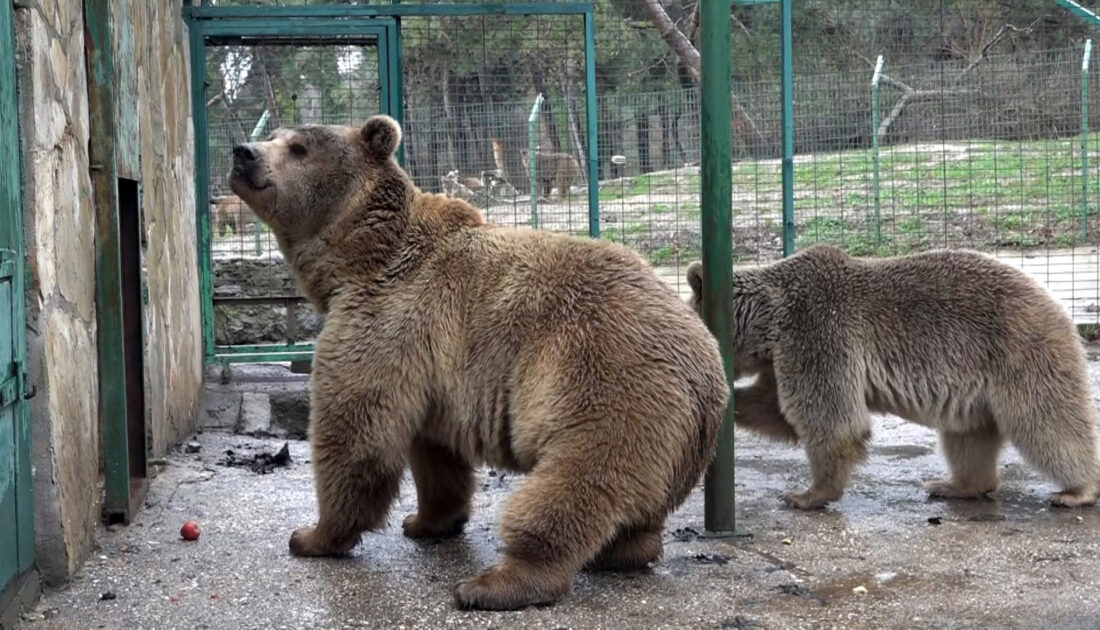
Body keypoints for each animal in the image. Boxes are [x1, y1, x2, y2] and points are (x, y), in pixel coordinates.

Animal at [227, 114, 730, 611]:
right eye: (275, 135)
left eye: (298, 147)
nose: (242, 152)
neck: (359, 256)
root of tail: (708, 370)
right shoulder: (430, 366)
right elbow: (435, 454)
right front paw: (424, 521)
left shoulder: (385, 318)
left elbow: (355, 433)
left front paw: (312, 536)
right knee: (633, 509)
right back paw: (621, 551)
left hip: (606, 382)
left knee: (575, 482)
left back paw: (495, 582)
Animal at [686, 245, 1100, 510]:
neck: (769, 323)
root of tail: (1055, 302)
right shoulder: (783, 357)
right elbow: (774, 408)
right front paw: (727, 402)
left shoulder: (816, 334)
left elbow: (831, 420)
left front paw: (805, 494)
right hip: (976, 391)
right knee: (967, 438)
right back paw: (955, 485)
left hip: (1020, 354)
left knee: (1047, 423)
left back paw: (1078, 489)